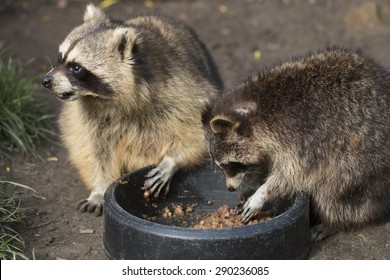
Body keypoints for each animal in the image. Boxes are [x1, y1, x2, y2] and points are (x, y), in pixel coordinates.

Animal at [41, 3, 222, 217]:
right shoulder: (86, 115)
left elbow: (198, 132)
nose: (46, 80)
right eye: (60, 58)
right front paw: (99, 189)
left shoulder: (180, 89)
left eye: (76, 67)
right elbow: (94, 151)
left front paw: (172, 161)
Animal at [204, 47, 390, 241]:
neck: (256, 108)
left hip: (364, 162)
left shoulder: (305, 139)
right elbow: (266, 163)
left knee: (335, 191)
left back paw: (334, 222)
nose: (230, 188)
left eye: (230, 164)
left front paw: (262, 194)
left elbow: (292, 175)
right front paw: (253, 185)